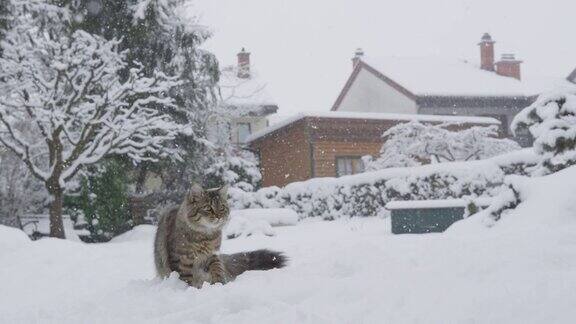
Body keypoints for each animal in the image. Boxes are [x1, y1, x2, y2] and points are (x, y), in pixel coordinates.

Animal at [154, 184, 286, 288]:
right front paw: (192, 290)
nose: (218, 216)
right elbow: (187, 279)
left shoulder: (213, 254)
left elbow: (217, 269)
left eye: (221, 207)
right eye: (208, 208)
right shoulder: (181, 259)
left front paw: (218, 284)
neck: (205, 237)